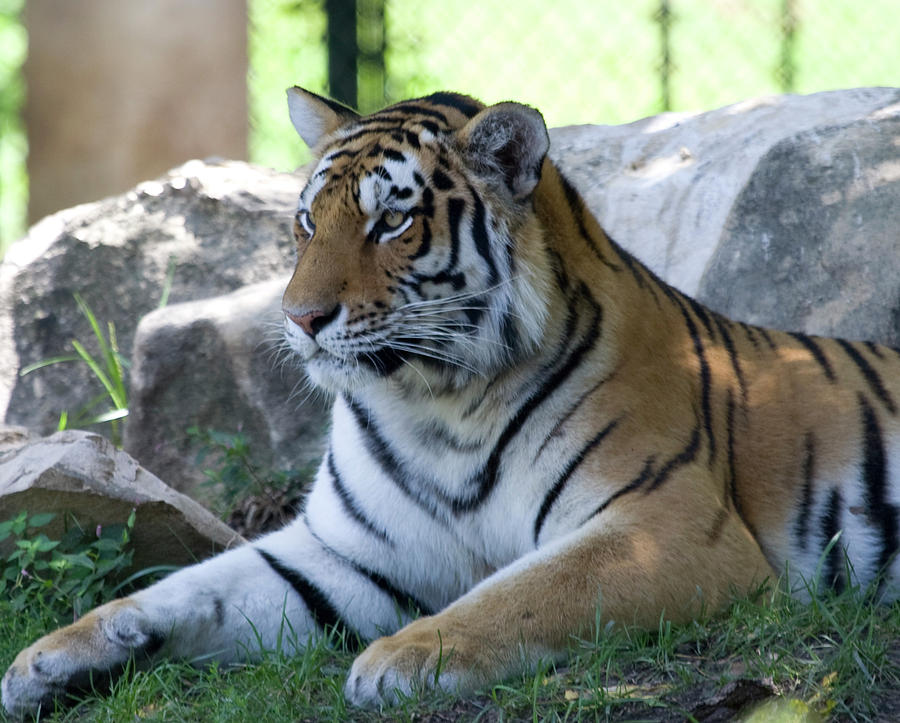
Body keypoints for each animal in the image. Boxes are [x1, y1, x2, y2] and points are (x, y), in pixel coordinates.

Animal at [1, 86, 900, 720]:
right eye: (305, 222)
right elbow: (191, 586)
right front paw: (47, 656)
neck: (435, 404)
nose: (300, 317)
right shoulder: (344, 554)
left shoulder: (667, 526)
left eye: (390, 222)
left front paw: (401, 658)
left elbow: (528, 592)